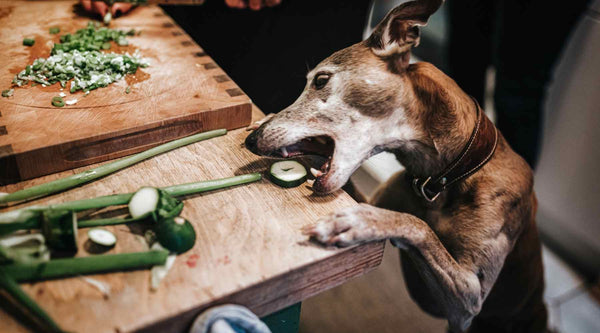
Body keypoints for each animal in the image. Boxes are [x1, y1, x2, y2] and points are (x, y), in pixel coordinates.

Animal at [244, 1, 548, 330]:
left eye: (321, 80)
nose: (252, 140)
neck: (443, 178)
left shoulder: (470, 299)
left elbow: (417, 225)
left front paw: (360, 222)